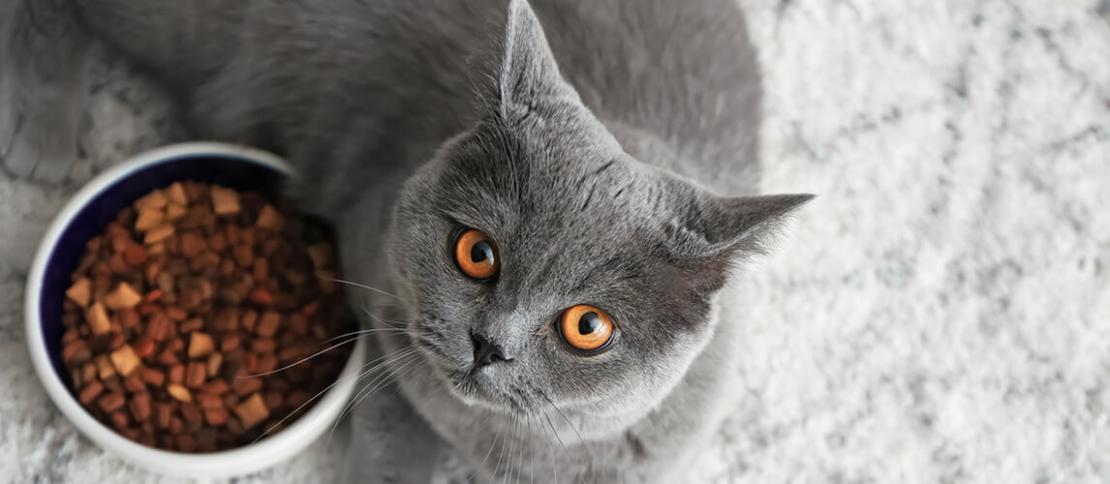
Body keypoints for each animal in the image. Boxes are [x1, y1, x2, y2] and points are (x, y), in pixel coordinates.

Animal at [28, 0, 808, 477]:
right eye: (477, 253)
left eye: (589, 327)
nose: (490, 344)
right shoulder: (376, 295)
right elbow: (396, 433)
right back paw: (39, 138)